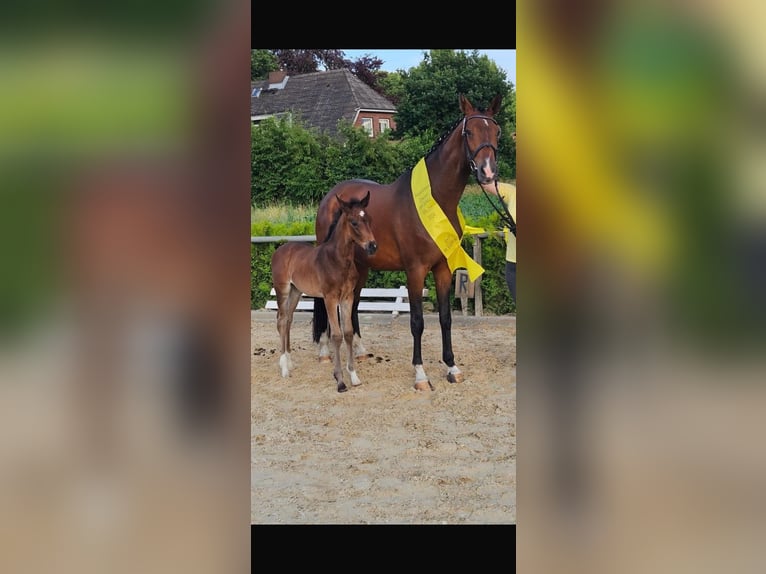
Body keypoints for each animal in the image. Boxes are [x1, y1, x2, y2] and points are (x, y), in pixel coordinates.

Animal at [271, 190, 377, 392]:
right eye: (354, 222)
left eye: (368, 219)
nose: (372, 246)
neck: (338, 260)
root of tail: (280, 249)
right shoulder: (330, 298)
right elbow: (336, 335)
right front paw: (340, 381)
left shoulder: (347, 297)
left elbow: (348, 332)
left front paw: (354, 376)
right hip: (283, 290)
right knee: (281, 320)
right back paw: (284, 369)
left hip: (296, 292)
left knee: (288, 319)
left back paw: (289, 362)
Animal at [312, 93, 503, 390]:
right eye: (469, 132)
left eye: (496, 132)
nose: (487, 173)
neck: (435, 201)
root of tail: (332, 196)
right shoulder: (415, 270)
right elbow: (417, 321)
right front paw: (421, 374)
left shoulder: (443, 269)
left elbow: (445, 318)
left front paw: (452, 366)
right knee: (326, 302)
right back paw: (324, 352)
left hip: (361, 268)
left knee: (353, 306)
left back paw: (359, 350)